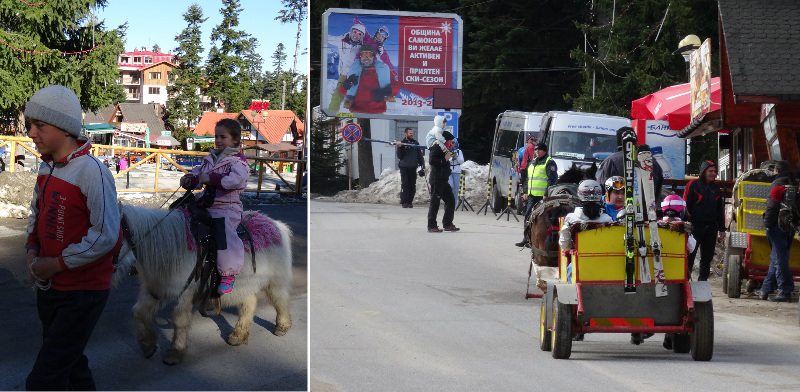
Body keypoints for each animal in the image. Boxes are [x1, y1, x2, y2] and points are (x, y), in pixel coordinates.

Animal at [115, 204, 294, 366]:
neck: (172, 249)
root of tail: (277, 225)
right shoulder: (155, 290)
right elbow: (139, 312)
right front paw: (148, 345)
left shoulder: (185, 293)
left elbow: (179, 319)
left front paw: (175, 353)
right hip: (245, 285)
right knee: (249, 304)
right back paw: (237, 336)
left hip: (275, 281)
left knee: (280, 300)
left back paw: (282, 327)